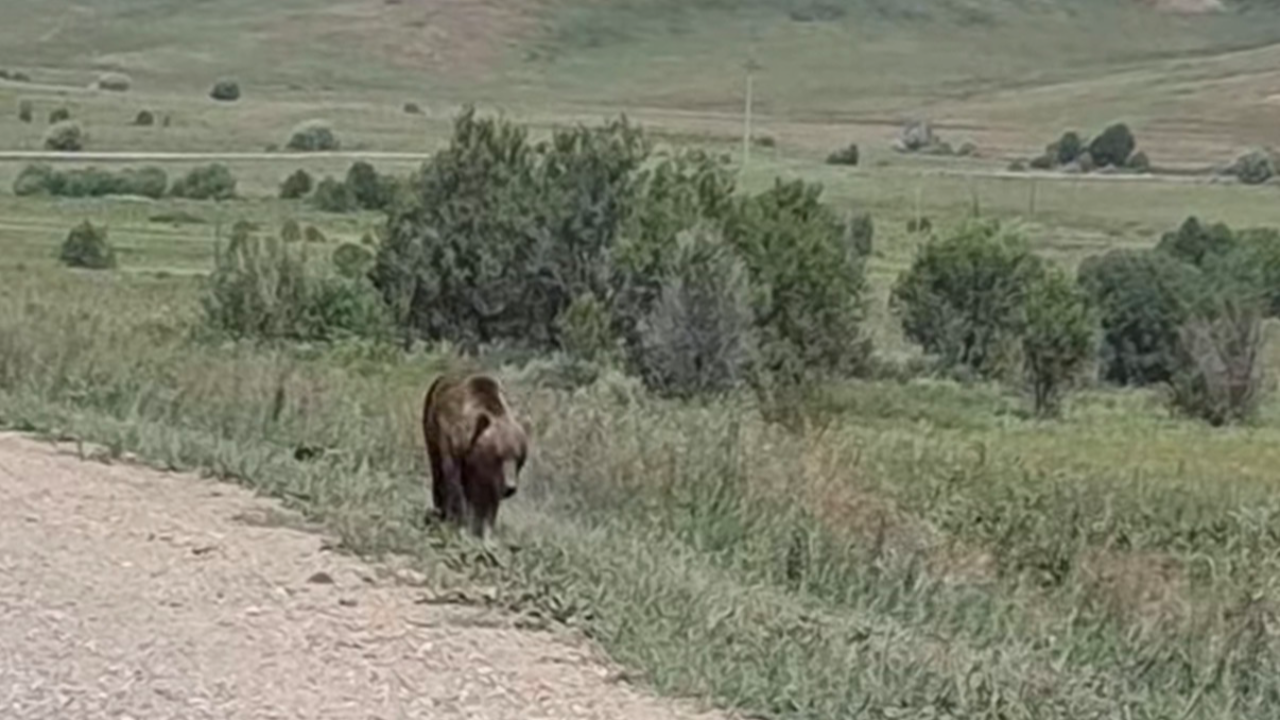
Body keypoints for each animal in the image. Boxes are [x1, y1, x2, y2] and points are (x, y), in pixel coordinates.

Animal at [421, 371, 530, 539]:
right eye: (499, 456)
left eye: (520, 459)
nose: (510, 487)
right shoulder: (450, 441)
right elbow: (453, 482)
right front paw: (457, 522)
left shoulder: (485, 471)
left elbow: (487, 497)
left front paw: (484, 528)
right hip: (430, 423)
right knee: (437, 468)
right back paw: (439, 510)